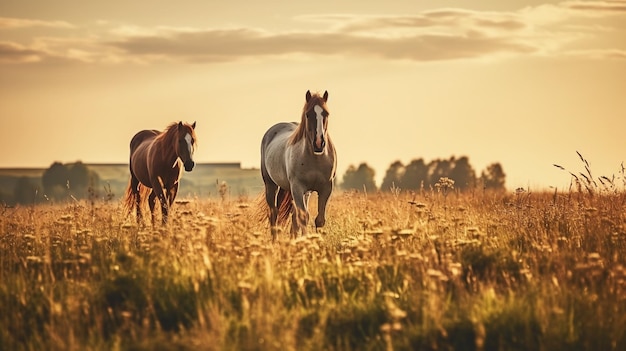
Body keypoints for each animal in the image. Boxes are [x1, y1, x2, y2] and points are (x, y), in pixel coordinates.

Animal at [260, 91, 336, 241]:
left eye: (326, 113)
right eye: (308, 114)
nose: (319, 143)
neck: (316, 158)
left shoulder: (325, 188)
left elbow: (319, 219)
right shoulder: (297, 187)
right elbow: (303, 217)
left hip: (301, 193)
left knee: (293, 217)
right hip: (272, 185)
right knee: (274, 213)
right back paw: (275, 241)